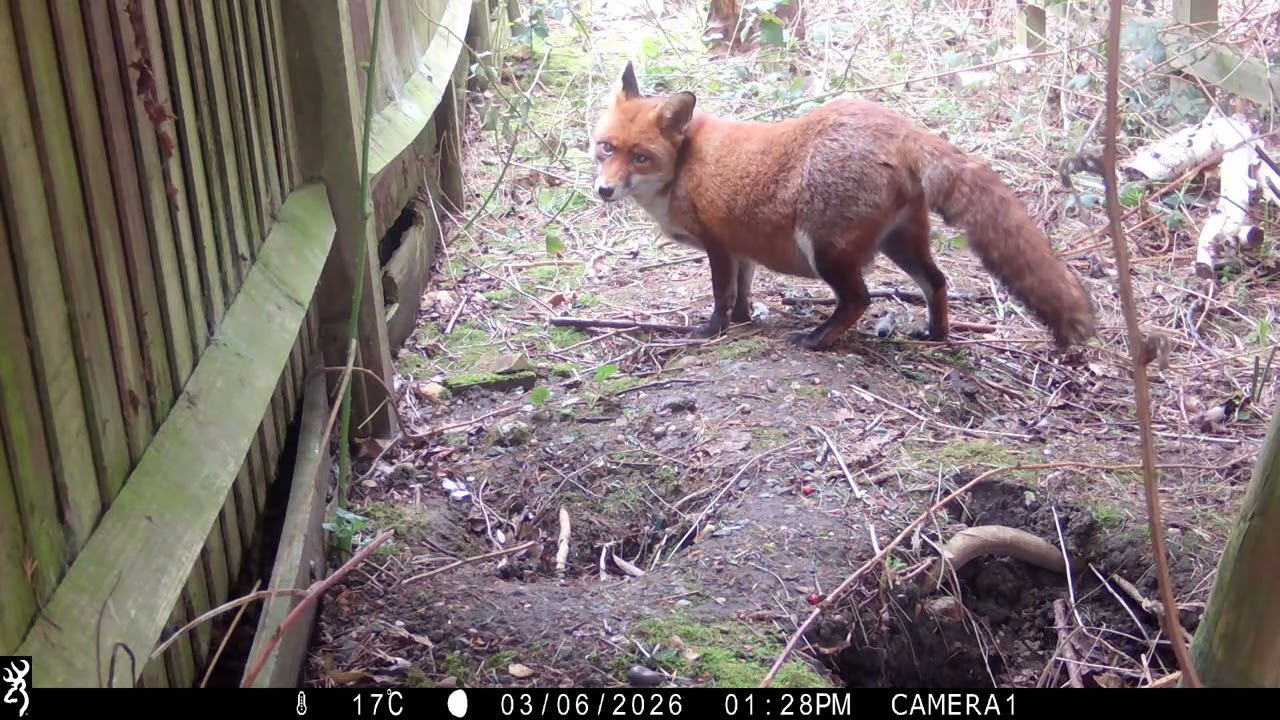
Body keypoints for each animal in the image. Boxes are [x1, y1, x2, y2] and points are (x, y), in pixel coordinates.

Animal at [589, 61, 1096, 351]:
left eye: (640, 156)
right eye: (605, 148)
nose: (604, 191)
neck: (685, 164)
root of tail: (899, 125)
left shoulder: (719, 246)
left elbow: (720, 296)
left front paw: (712, 332)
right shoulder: (741, 249)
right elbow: (744, 295)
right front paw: (746, 322)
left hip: (825, 249)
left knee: (860, 299)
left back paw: (819, 339)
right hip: (900, 244)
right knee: (936, 283)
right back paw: (935, 335)